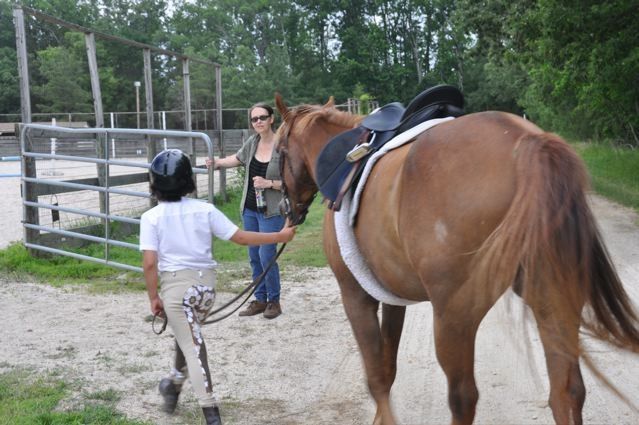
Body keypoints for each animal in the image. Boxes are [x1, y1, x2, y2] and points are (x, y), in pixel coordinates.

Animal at [278, 95, 639, 424]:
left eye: (278, 150)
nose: (284, 209)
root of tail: (528, 142)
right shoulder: (393, 298)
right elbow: (389, 367)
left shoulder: (355, 295)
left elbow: (377, 377)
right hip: (554, 300)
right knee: (567, 391)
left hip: (454, 316)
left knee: (463, 397)